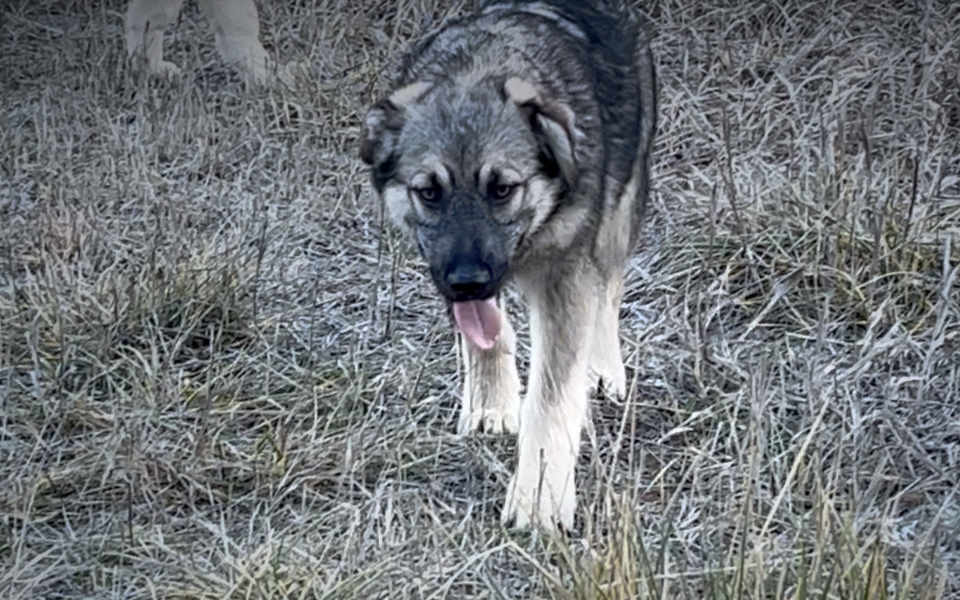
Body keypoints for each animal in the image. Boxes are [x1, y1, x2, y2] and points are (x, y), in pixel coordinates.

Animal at [356, 0, 656, 536]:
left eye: (502, 189)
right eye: (428, 191)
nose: (469, 282)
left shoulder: (567, 273)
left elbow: (552, 398)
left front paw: (539, 500)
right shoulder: (444, 266)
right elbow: (488, 337)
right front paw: (491, 403)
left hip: (622, 206)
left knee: (610, 290)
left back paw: (603, 368)